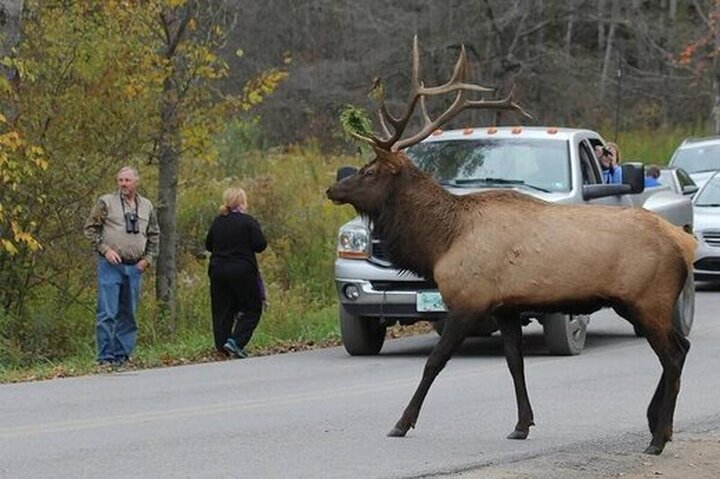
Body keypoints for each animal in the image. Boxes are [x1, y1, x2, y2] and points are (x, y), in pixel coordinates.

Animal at [328, 35, 696, 456]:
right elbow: (514, 363)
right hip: (645, 303)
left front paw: (402, 423)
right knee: (681, 348)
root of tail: (685, 242)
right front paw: (522, 425)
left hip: (646, 299)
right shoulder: (505, 307)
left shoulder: (468, 301)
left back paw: (657, 437)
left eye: (370, 172)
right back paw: (658, 425)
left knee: (672, 355)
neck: (441, 243)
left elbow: (434, 362)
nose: (332, 189)